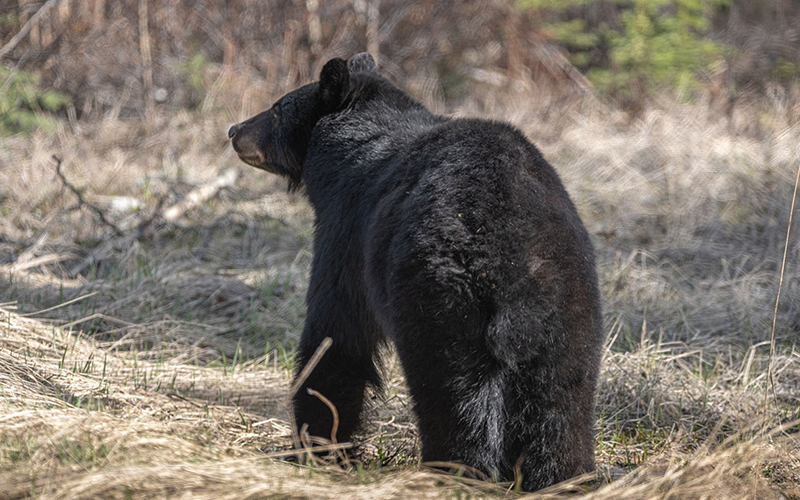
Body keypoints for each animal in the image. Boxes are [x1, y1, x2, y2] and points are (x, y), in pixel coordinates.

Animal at [228, 52, 604, 490]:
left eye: (277, 108)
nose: (234, 130)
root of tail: (512, 269)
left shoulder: (348, 228)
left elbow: (335, 334)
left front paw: (316, 449)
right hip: (569, 310)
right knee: (561, 405)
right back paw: (563, 479)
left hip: (440, 301)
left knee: (452, 397)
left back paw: (454, 473)